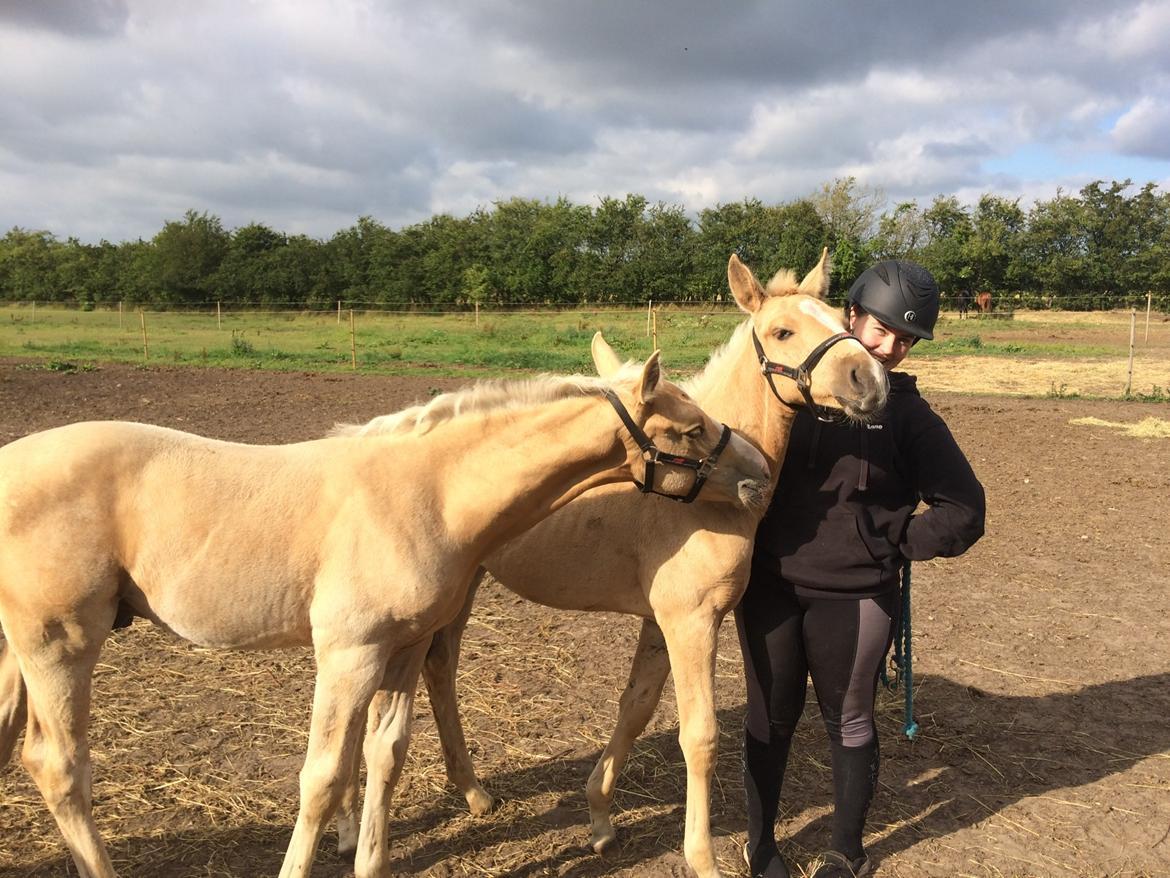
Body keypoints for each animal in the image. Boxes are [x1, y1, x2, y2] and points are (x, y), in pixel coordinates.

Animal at [351, 250, 889, 875]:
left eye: (839, 318)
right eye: (783, 331)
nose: (871, 381)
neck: (703, 498)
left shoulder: (662, 622)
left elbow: (636, 709)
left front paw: (601, 819)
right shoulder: (691, 622)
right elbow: (699, 736)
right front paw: (701, 856)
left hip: (463, 588)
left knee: (437, 673)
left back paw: (470, 794)